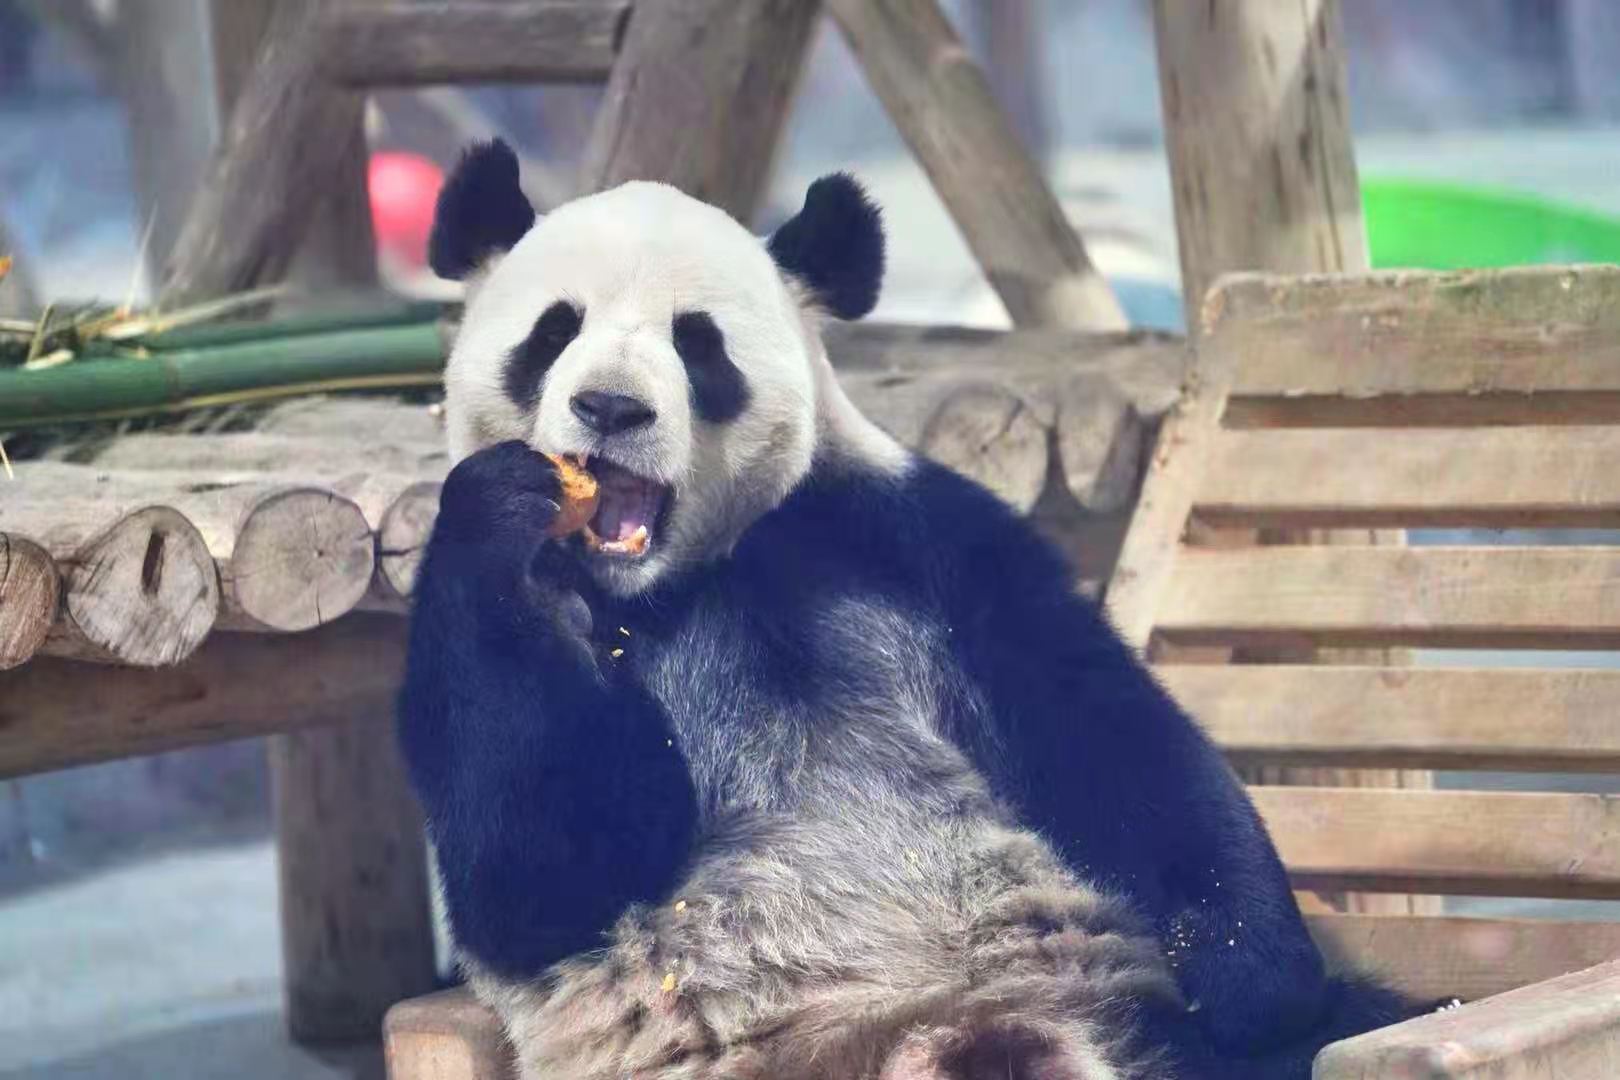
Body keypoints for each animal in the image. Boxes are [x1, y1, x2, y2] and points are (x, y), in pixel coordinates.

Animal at [398, 143, 1425, 1080]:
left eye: (697, 342)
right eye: (553, 331)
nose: (611, 407)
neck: (678, 584)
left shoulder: (909, 544)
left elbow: (1112, 736)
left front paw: (1255, 979)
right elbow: (540, 874)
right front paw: (501, 510)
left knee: (1337, 1026)